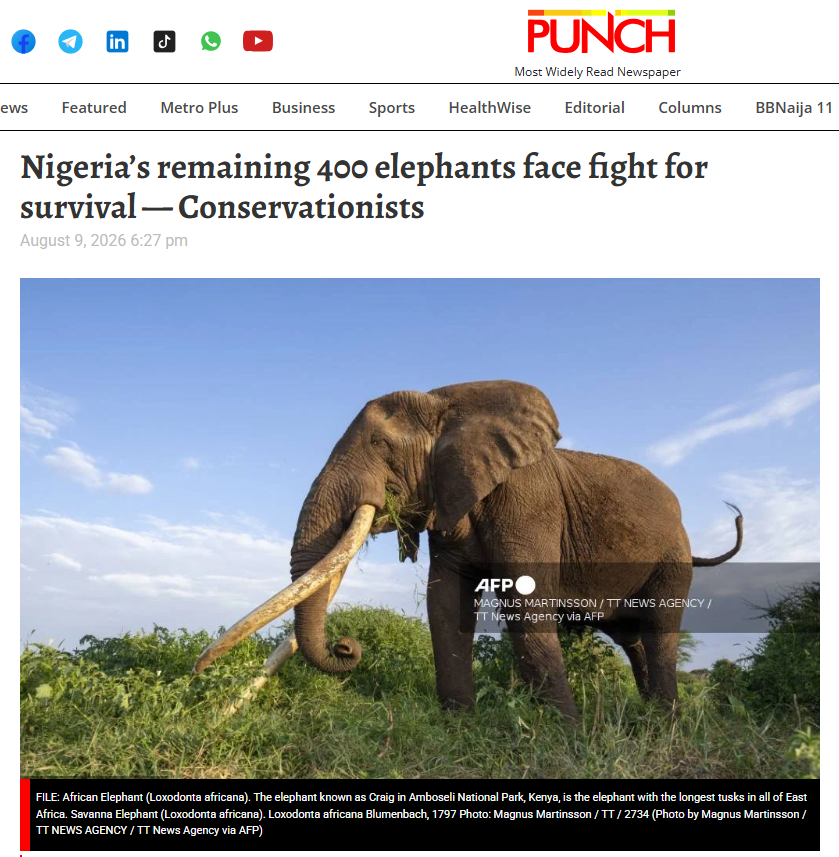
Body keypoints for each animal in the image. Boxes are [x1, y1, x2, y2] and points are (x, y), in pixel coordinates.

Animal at [195, 380, 742, 723]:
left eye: (380, 446)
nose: (347, 646)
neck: (448, 401)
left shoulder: (528, 502)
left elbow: (526, 605)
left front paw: (566, 737)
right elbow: (445, 603)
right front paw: (459, 725)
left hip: (673, 555)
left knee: (660, 631)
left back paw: (664, 726)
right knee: (632, 639)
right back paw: (648, 719)